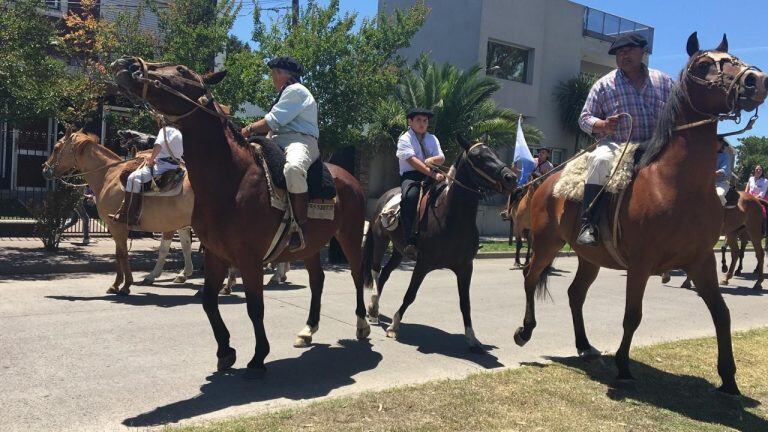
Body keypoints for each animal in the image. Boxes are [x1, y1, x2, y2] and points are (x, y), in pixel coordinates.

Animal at [109, 55, 370, 376]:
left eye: (181, 70)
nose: (127, 64)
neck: (231, 178)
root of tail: (350, 178)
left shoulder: (249, 258)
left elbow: (255, 307)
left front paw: (258, 358)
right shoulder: (215, 253)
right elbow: (208, 301)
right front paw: (225, 351)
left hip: (350, 235)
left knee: (357, 273)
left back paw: (362, 325)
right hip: (310, 245)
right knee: (317, 280)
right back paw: (308, 330)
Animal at [362, 138, 516, 352]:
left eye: (495, 153)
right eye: (478, 157)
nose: (511, 177)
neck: (451, 218)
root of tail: (384, 198)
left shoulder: (465, 268)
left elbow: (465, 303)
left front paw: (472, 338)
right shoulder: (423, 264)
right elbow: (410, 295)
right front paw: (394, 326)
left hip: (400, 251)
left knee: (384, 274)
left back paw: (373, 309)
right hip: (380, 241)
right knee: (376, 271)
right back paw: (374, 310)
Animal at [516, 32, 768, 394]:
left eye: (732, 58)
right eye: (704, 65)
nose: (755, 81)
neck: (675, 185)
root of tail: (547, 180)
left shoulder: (701, 260)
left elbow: (722, 314)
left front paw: (729, 379)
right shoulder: (640, 263)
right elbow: (632, 315)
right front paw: (623, 366)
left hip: (589, 257)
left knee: (575, 294)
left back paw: (584, 345)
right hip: (546, 242)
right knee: (530, 277)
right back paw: (525, 331)